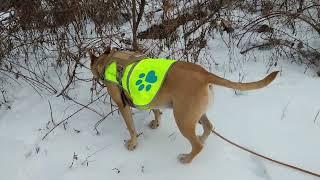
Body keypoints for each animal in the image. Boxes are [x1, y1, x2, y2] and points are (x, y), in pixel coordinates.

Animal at [87, 48, 278, 163]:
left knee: (197, 145)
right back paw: (201, 138)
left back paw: (187, 158)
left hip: (183, 119)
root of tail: (204, 74)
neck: (107, 60)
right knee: (208, 127)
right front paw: (156, 122)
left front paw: (133, 143)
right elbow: (155, 110)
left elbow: (131, 128)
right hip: (195, 114)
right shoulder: (151, 97)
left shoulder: (122, 106)